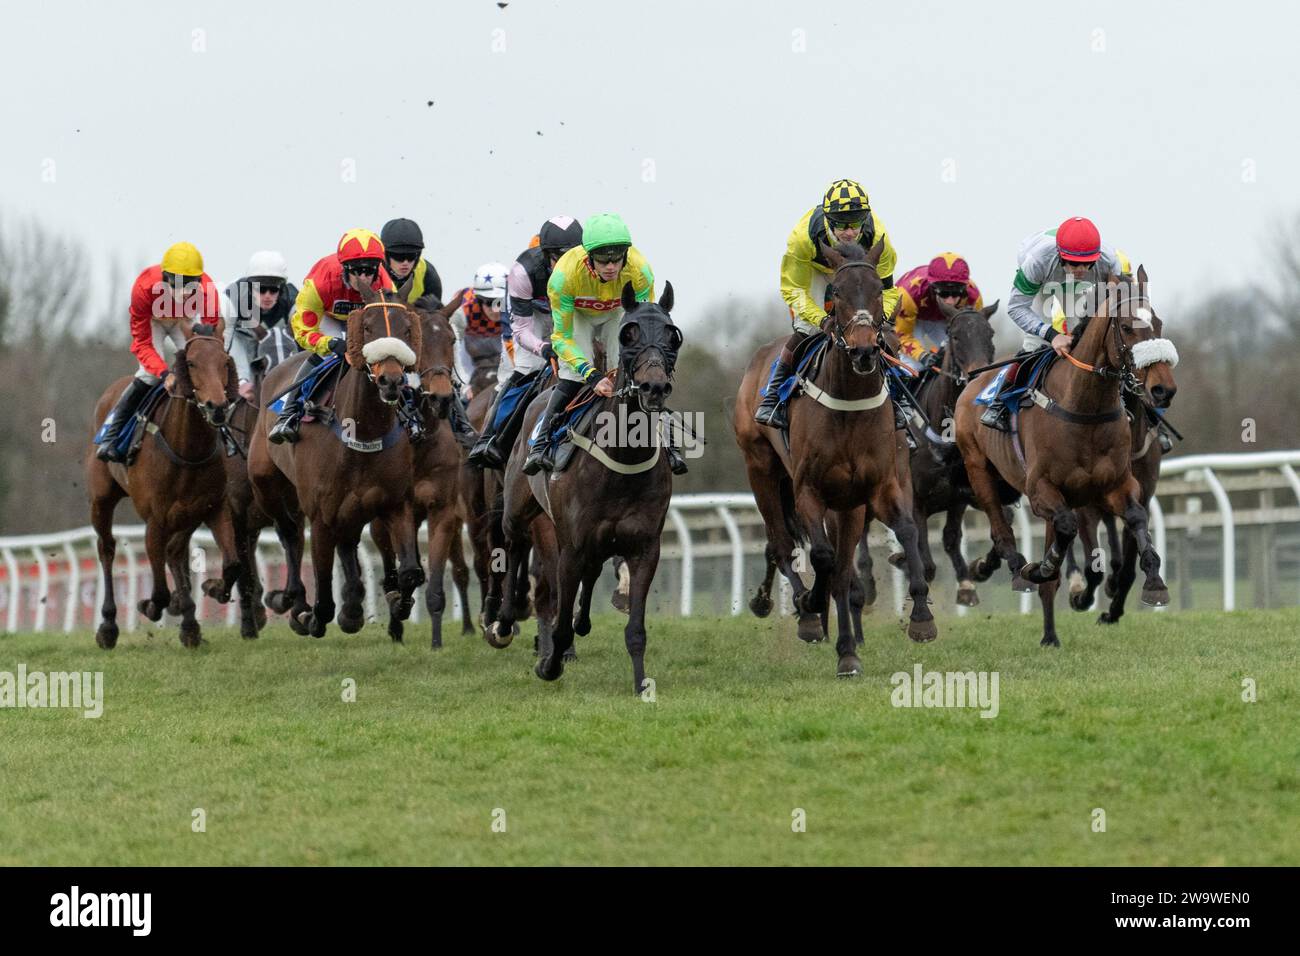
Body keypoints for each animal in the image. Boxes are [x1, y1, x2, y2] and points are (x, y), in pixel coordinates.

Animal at [86, 323, 256, 650]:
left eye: (225, 362)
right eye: (191, 363)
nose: (217, 407)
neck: (187, 448)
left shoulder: (215, 508)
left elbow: (232, 564)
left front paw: (212, 588)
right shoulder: (155, 520)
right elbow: (160, 591)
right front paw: (149, 606)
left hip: (186, 514)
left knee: (176, 552)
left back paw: (189, 623)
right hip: (101, 498)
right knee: (107, 549)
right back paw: (108, 626)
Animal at [245, 287, 423, 639]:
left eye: (407, 329)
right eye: (366, 327)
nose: (391, 381)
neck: (362, 432)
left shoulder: (395, 504)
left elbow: (411, 572)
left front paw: (399, 603)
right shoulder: (320, 515)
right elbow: (324, 595)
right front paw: (312, 617)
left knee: (347, 541)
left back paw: (352, 606)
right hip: (267, 484)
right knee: (289, 534)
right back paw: (295, 603)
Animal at [491, 280, 686, 691]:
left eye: (672, 335)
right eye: (629, 334)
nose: (654, 387)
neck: (623, 461)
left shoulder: (645, 548)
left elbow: (636, 629)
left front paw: (641, 683)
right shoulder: (571, 547)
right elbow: (559, 619)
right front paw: (549, 665)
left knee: (592, 571)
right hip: (518, 508)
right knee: (513, 546)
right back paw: (504, 621)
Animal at [733, 239, 935, 676]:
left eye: (878, 290)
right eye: (836, 293)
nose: (864, 351)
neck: (849, 404)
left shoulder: (876, 488)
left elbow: (905, 530)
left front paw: (921, 617)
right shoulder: (809, 490)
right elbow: (822, 556)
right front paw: (810, 605)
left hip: (848, 505)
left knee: (839, 572)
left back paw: (846, 649)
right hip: (760, 469)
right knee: (781, 544)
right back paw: (805, 613)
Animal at [951, 269, 1175, 647]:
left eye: (1157, 323)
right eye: (1127, 327)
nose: (1164, 389)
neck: (1085, 407)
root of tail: (974, 380)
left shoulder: (1118, 486)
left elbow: (1136, 519)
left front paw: (1154, 581)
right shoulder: (1045, 490)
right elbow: (1068, 531)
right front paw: (1049, 572)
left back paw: (1048, 630)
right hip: (979, 468)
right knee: (1000, 528)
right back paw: (1016, 571)